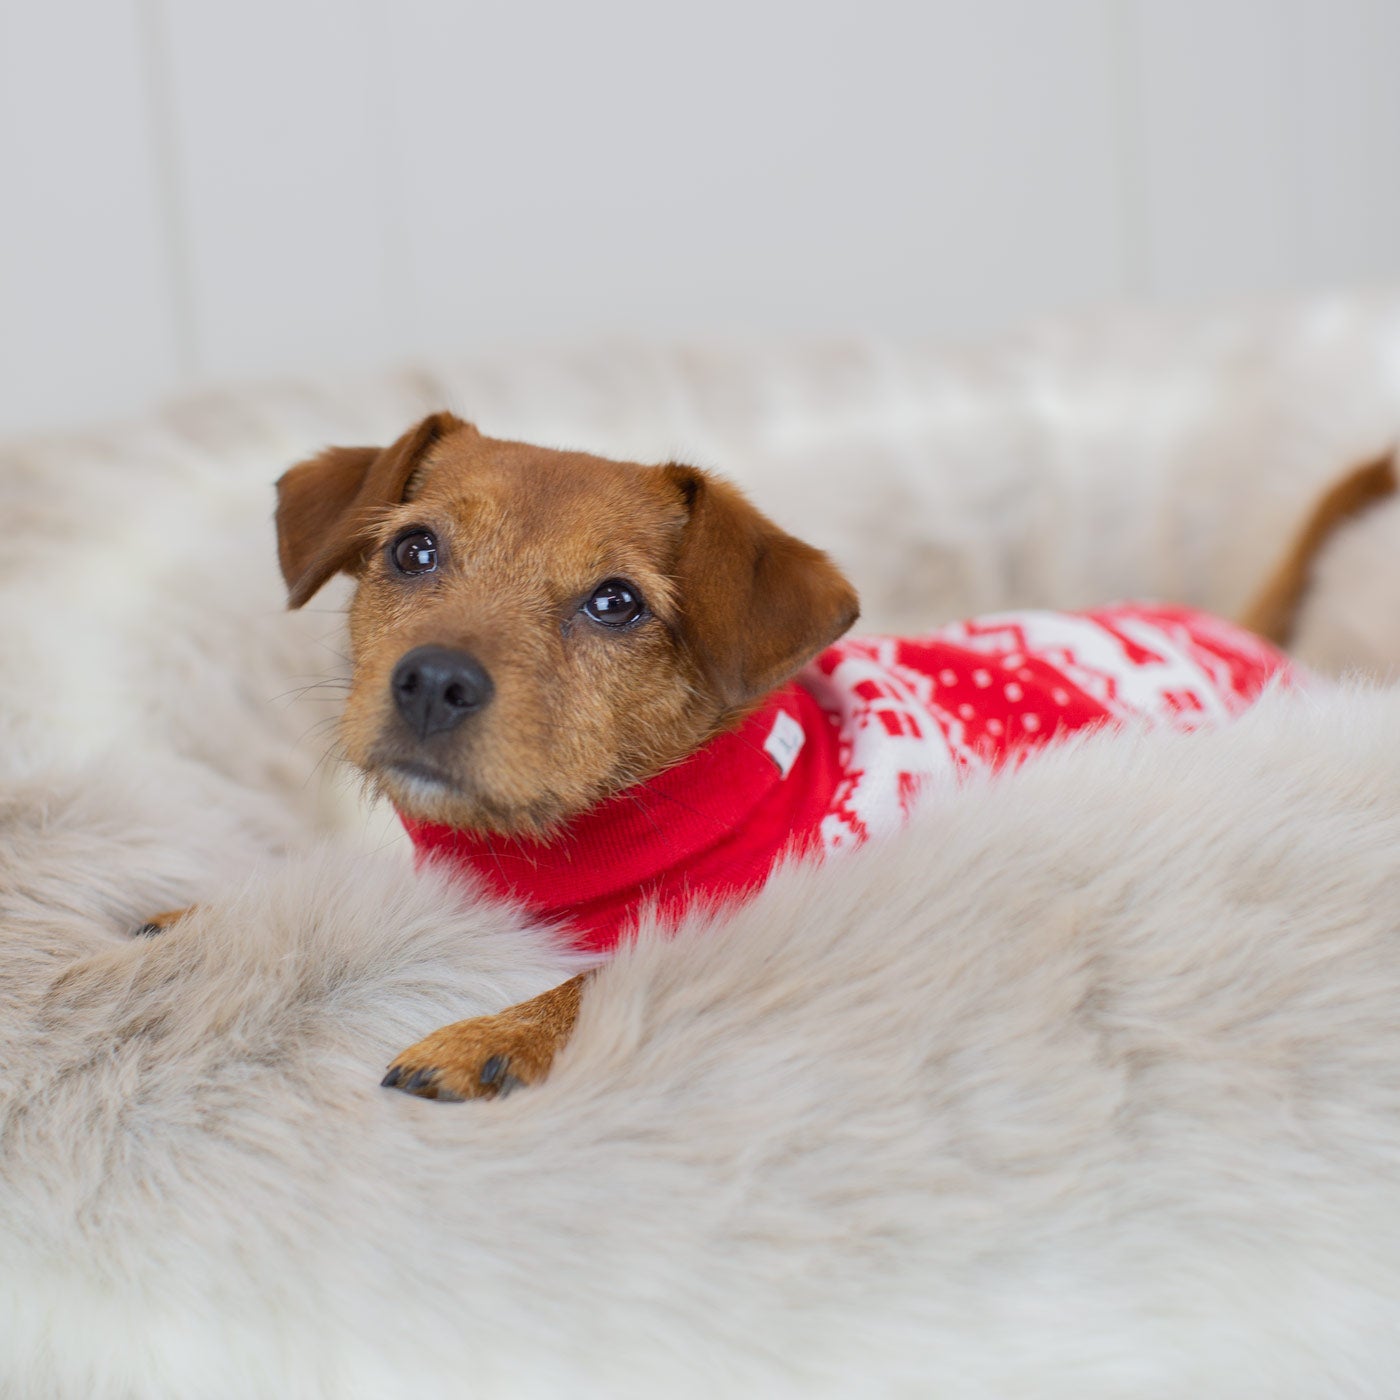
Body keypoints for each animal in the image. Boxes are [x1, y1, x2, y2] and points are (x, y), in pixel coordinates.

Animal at [257, 414, 1394, 1103]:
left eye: (616, 601)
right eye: (412, 550)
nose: (431, 682)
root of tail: (1244, 637)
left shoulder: (746, 927)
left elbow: (601, 977)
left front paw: (487, 1035)